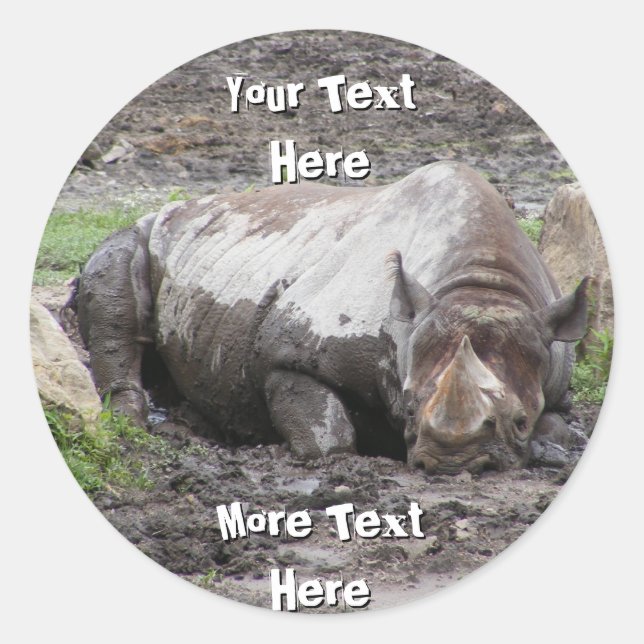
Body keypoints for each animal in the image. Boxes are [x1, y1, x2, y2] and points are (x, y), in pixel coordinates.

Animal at [77, 161, 589, 474]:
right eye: (407, 408)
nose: (454, 464)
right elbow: (330, 438)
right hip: (141, 231)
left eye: (519, 420)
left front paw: (547, 448)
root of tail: (174, 207)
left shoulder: (552, 362)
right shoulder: (285, 354)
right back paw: (134, 423)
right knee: (118, 291)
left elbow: (562, 425)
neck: (480, 282)